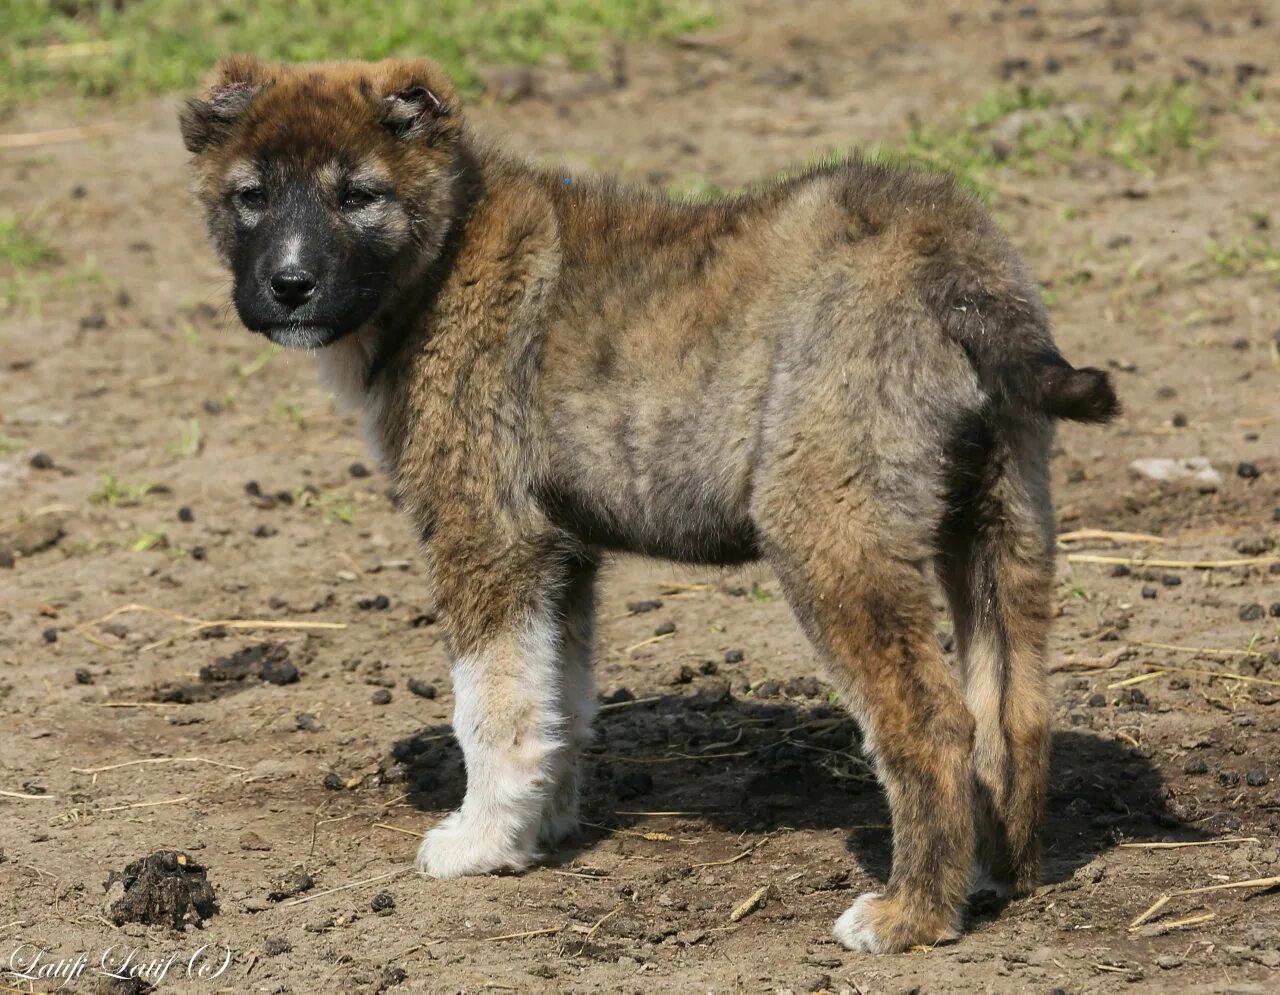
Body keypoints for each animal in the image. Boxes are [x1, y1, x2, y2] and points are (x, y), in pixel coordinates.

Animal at [183, 56, 1121, 952]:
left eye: (358, 196)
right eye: (252, 196)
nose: (290, 284)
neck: (442, 257)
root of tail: (953, 268)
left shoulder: (487, 534)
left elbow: (491, 705)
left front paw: (478, 839)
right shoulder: (561, 552)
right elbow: (554, 700)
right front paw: (534, 831)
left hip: (832, 535)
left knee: (932, 722)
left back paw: (910, 914)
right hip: (1005, 521)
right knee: (1015, 709)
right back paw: (993, 877)